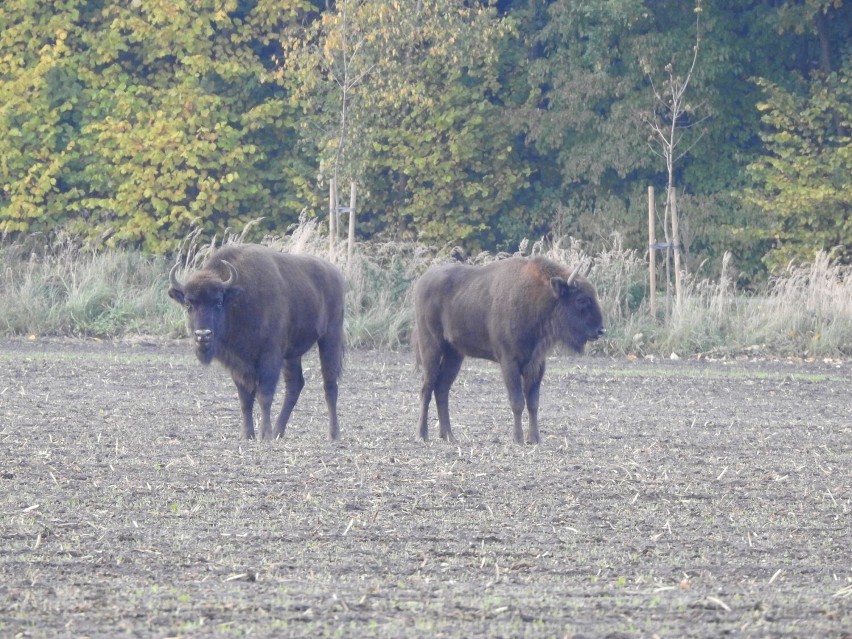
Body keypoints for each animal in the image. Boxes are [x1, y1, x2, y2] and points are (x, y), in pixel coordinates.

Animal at [168, 242, 344, 442]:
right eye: (188, 304)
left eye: (218, 302)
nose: (202, 335)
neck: (239, 299)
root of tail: (335, 274)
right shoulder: (238, 363)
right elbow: (245, 398)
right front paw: (247, 434)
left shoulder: (270, 356)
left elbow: (264, 394)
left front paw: (264, 434)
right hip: (292, 355)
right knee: (294, 385)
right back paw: (278, 432)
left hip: (330, 338)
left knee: (330, 385)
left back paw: (333, 435)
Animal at [414, 255, 604, 444]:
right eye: (581, 299)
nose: (601, 330)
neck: (536, 298)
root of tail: (422, 281)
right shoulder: (509, 362)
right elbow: (517, 401)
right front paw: (518, 438)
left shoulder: (536, 364)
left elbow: (533, 402)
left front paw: (534, 439)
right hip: (431, 347)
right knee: (427, 388)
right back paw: (422, 435)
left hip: (454, 354)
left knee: (442, 388)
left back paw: (449, 436)